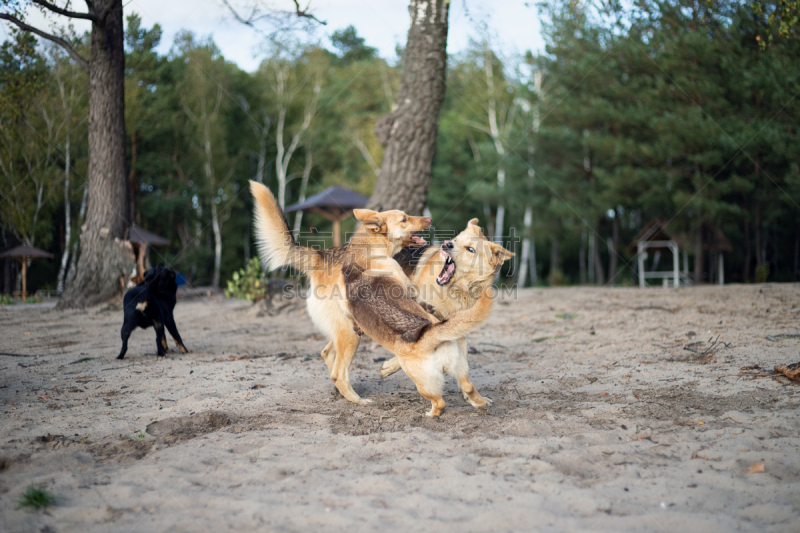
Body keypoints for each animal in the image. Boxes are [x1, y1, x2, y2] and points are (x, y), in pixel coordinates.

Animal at [252, 180, 432, 404]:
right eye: (404, 218)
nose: (429, 218)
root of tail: (321, 257)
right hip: (350, 334)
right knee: (338, 372)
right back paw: (359, 401)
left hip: (348, 330)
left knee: (328, 356)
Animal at [380, 218, 516, 380]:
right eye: (455, 240)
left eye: (470, 249)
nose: (447, 243)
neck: (457, 290)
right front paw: (390, 366)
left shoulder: (460, 328)